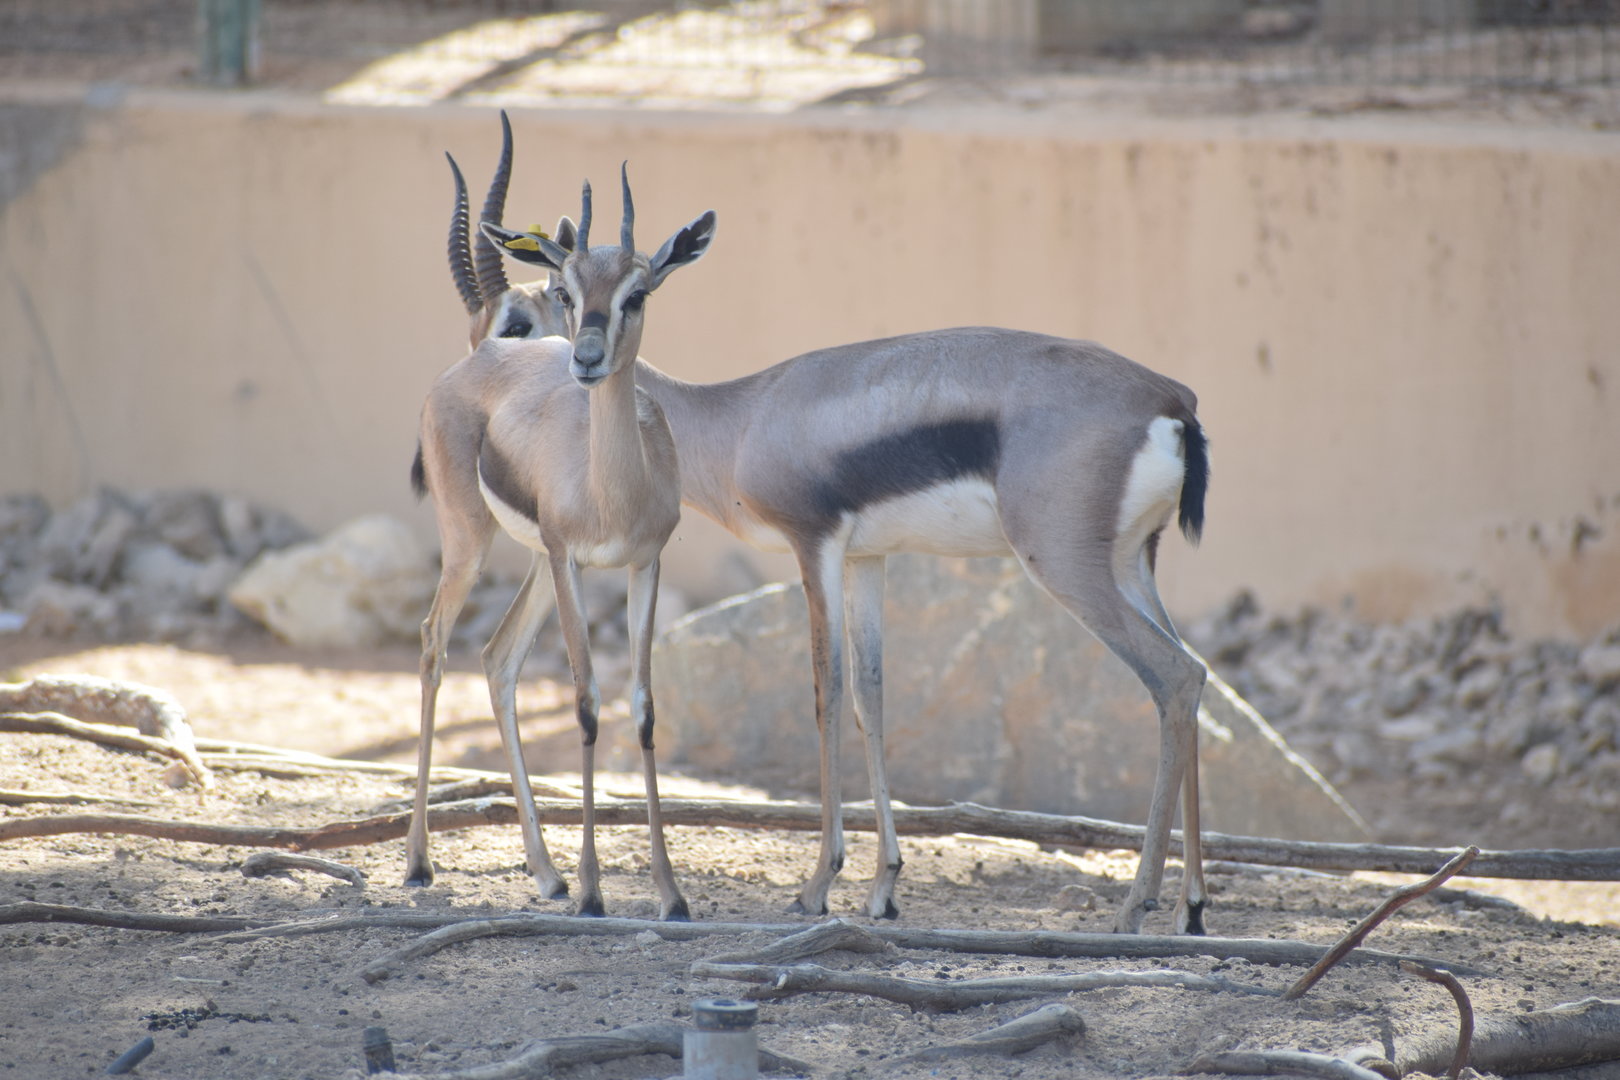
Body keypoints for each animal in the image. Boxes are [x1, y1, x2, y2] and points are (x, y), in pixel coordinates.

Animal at [406, 166, 717, 920]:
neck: (611, 487)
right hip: (474, 546)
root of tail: (473, 362)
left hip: (539, 569)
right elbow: (585, 703)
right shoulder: (572, 562)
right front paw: (595, 891)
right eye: (569, 293)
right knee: (433, 644)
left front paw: (669, 894)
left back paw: (546, 873)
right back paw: (420, 863)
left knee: (497, 658)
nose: (587, 359)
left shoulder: (645, 564)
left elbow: (642, 709)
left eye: (638, 291)